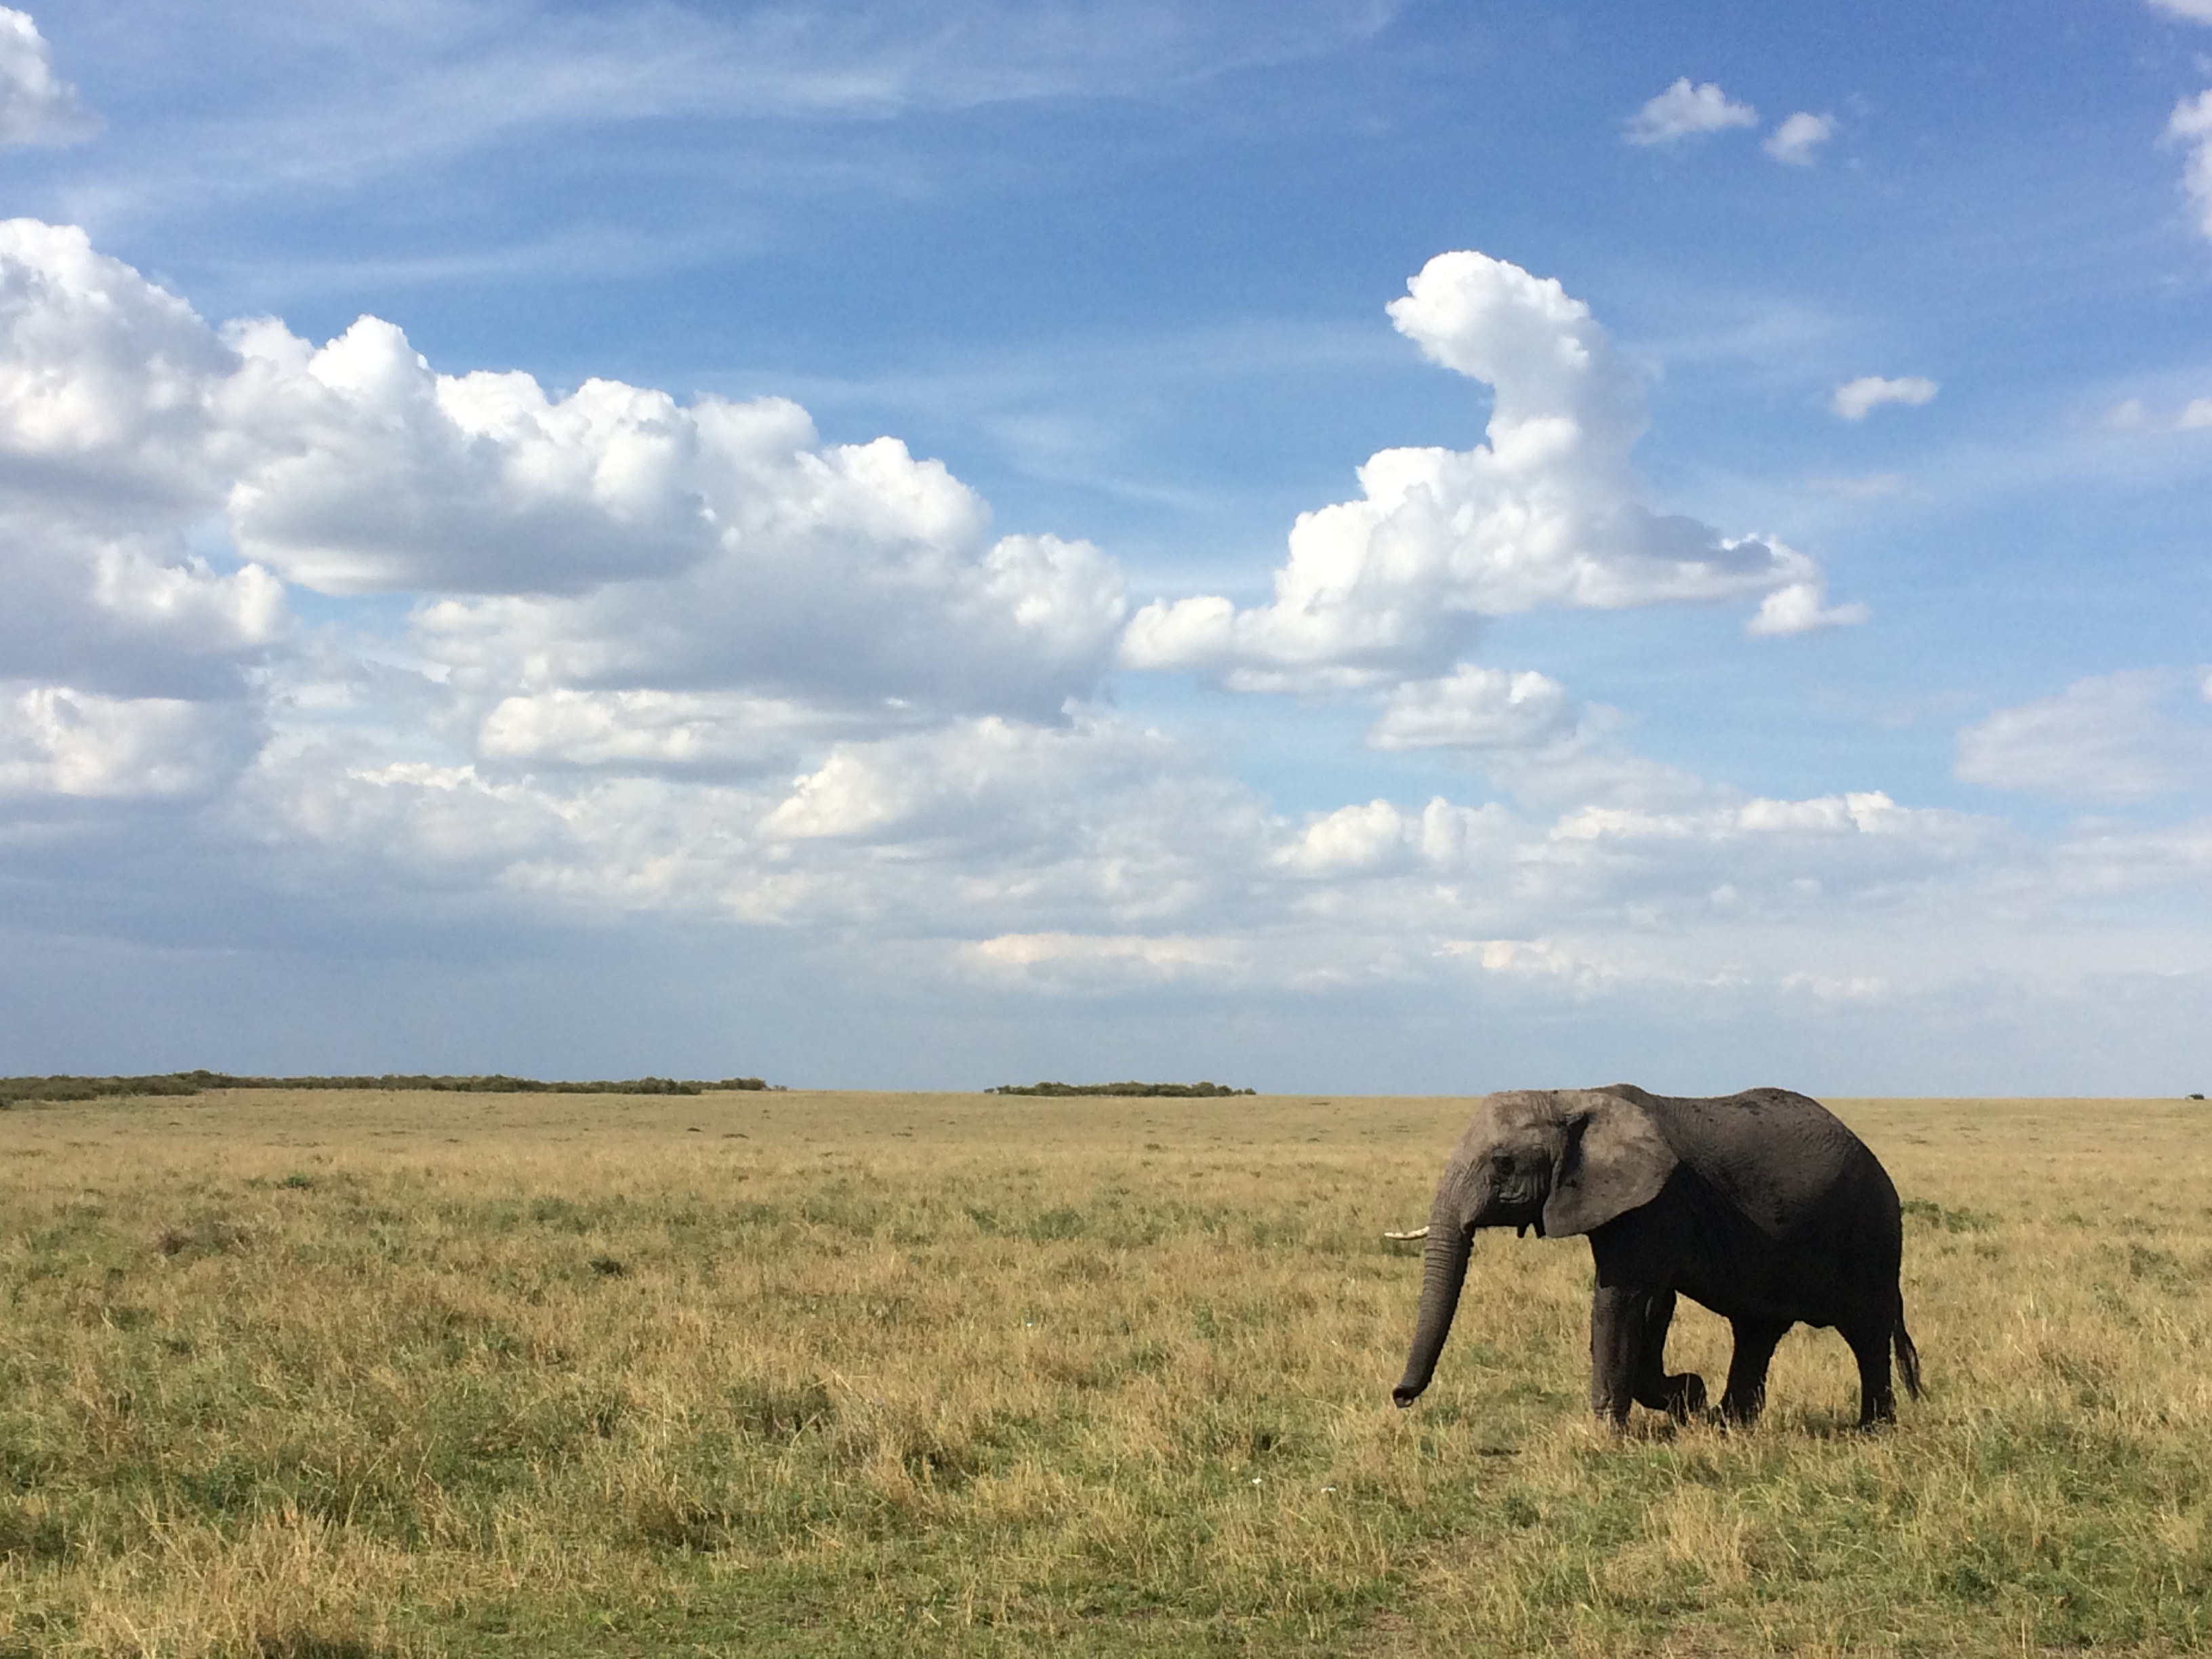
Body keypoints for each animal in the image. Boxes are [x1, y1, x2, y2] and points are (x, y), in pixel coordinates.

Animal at [1392, 1084, 1921, 1428]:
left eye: (1503, 1164)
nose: (1400, 1397)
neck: (1572, 1096)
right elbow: (1652, 1307)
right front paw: (1689, 1397)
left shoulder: (1655, 1203)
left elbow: (1620, 1300)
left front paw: (1610, 1432)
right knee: (1757, 1330)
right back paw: (1728, 1423)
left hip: (1870, 1232)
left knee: (1866, 1332)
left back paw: (1873, 1430)